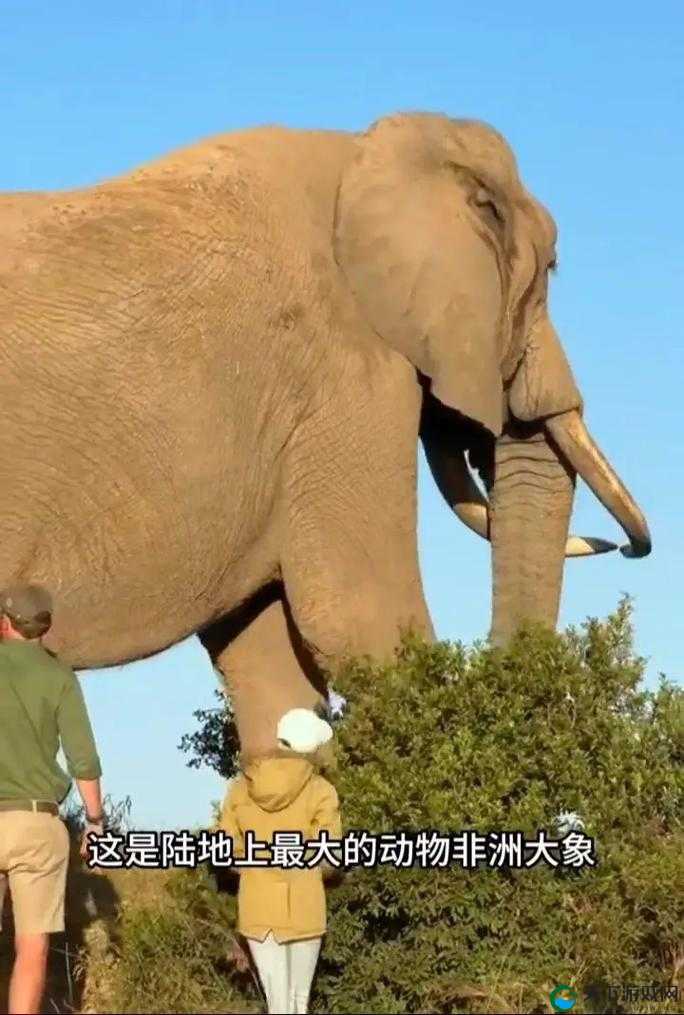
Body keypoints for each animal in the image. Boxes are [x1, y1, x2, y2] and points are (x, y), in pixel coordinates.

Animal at [0, 112, 651, 755]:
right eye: (552, 268)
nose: (624, 548)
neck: (368, 151)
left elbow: (270, 669)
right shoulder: (346, 374)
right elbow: (364, 616)